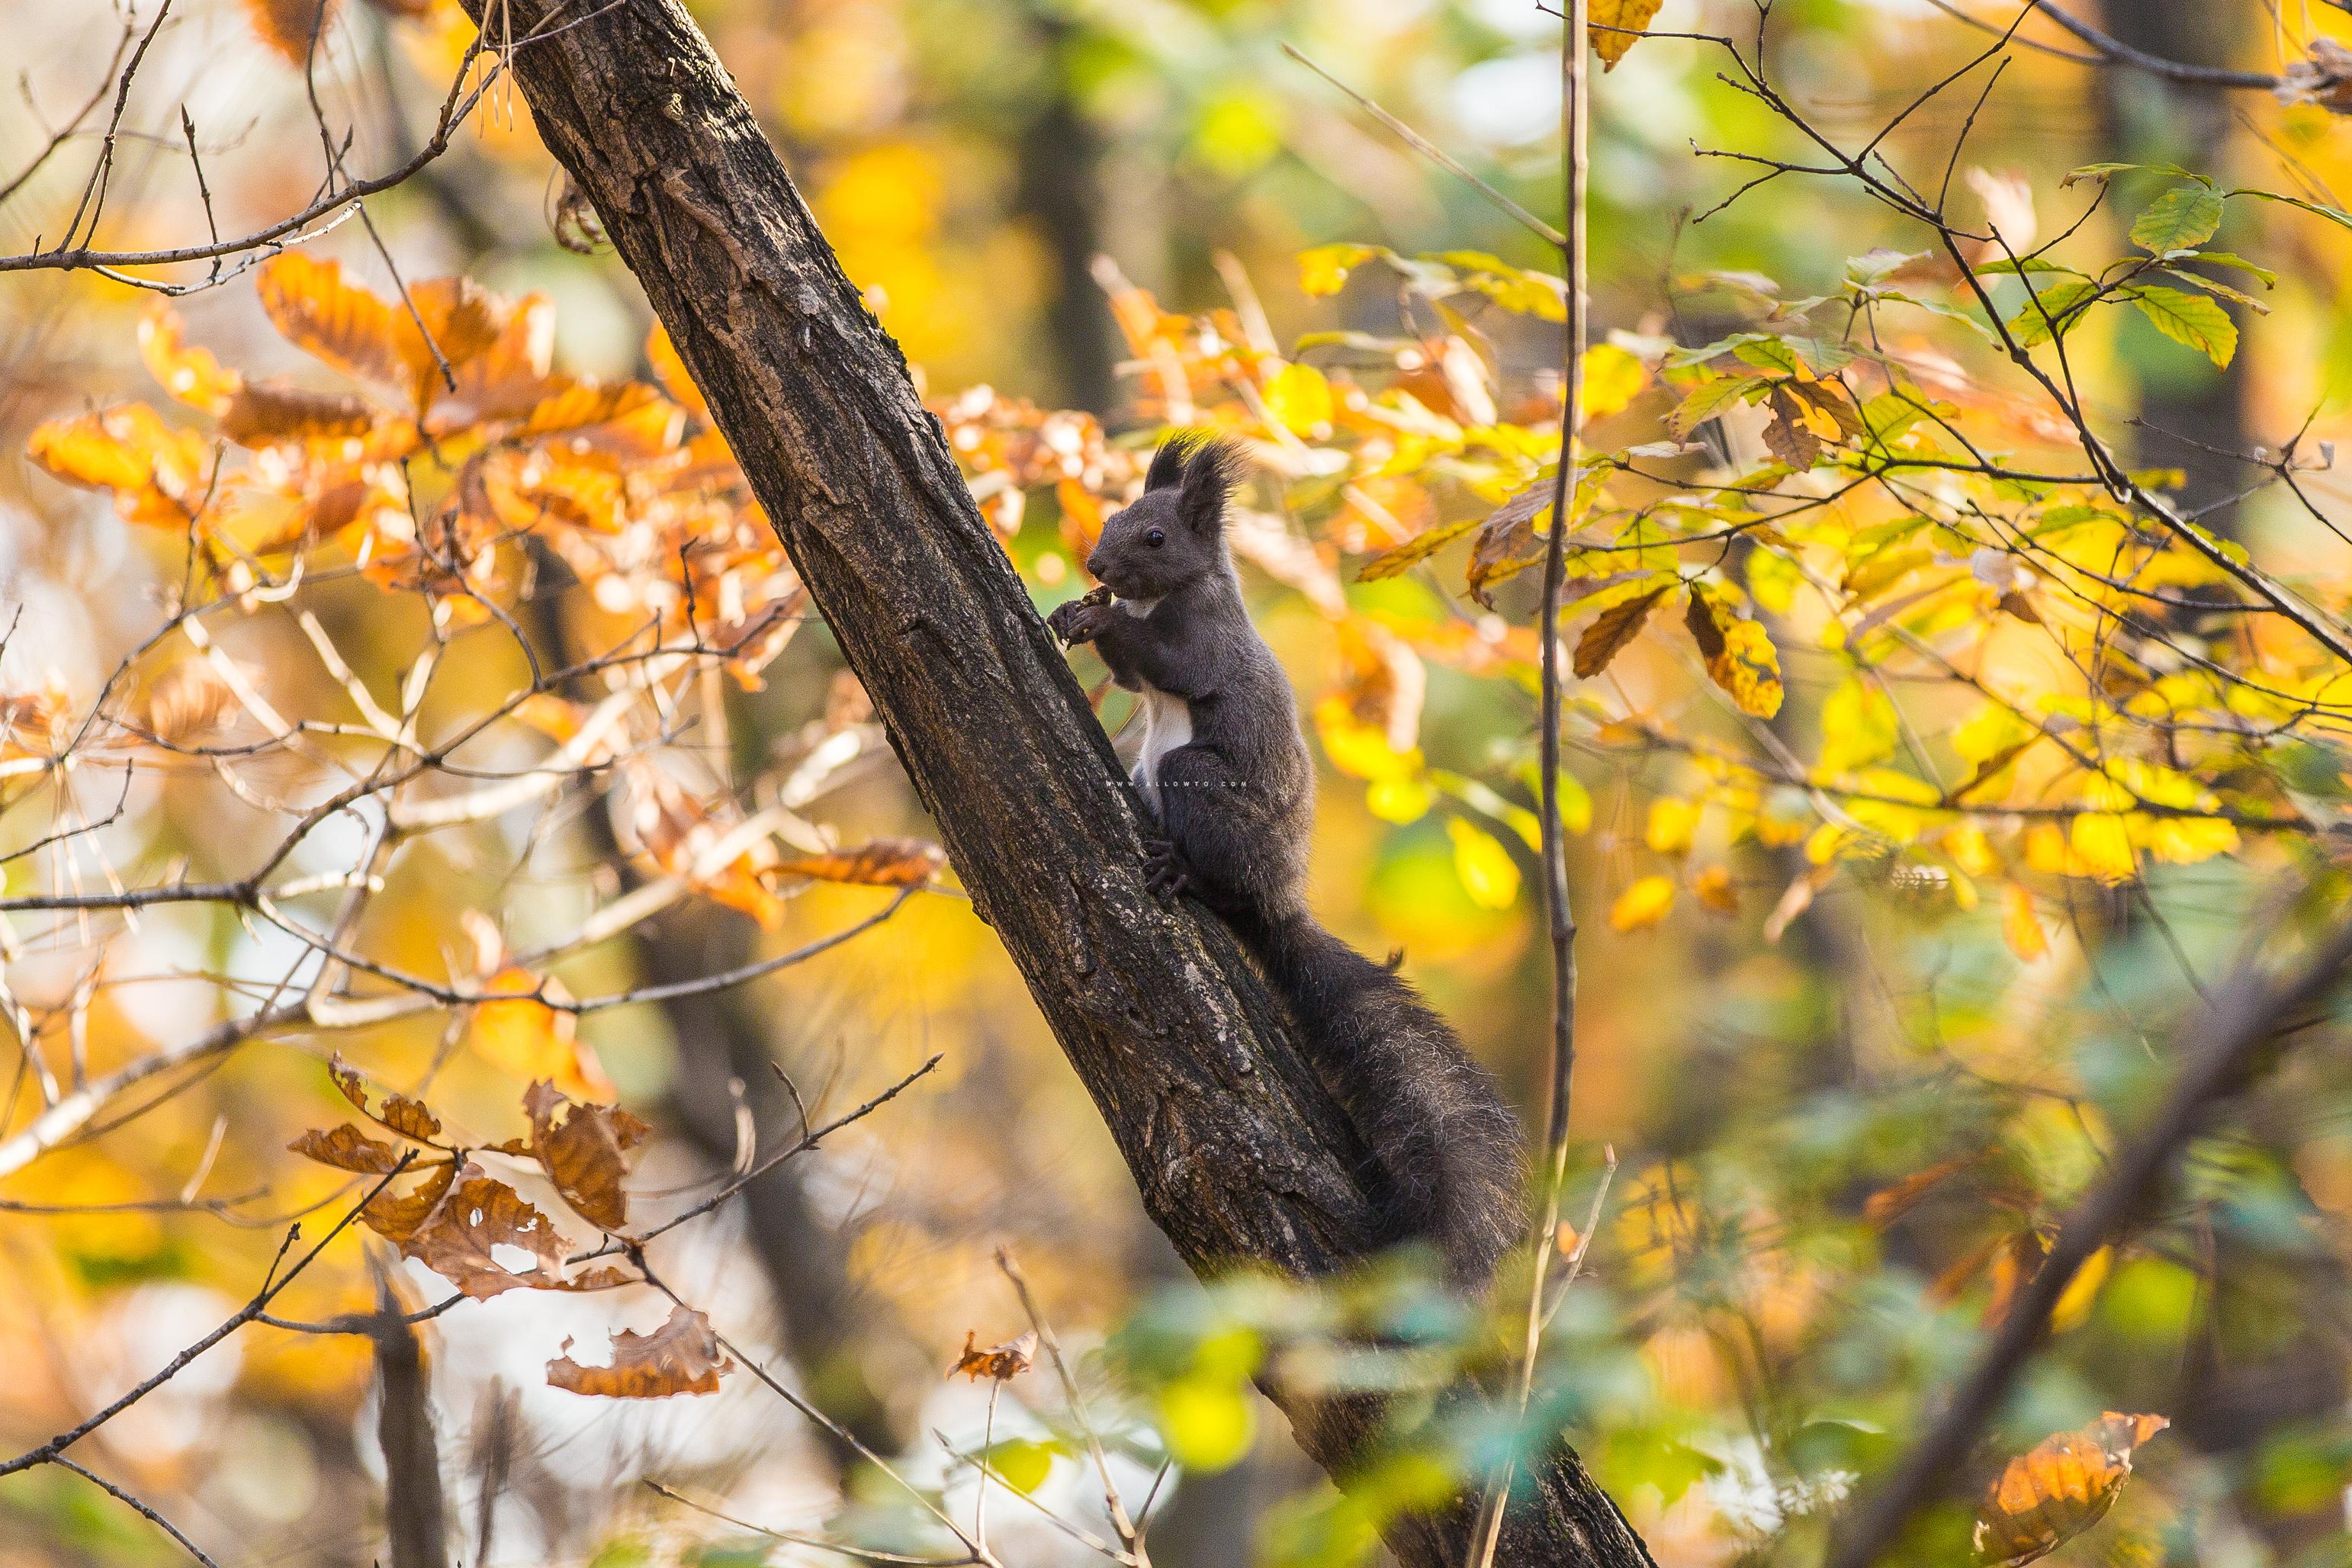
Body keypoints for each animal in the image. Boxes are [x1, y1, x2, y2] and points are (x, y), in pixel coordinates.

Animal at [1049, 432, 1524, 1288]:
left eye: (1156, 537)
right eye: (1110, 517)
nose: (1097, 564)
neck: (1173, 595)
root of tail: (1279, 898)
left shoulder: (1207, 640)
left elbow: (1167, 664)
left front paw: (1095, 618)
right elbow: (1136, 676)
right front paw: (1076, 610)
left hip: (1201, 793)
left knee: (1221, 876)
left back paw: (1186, 874)